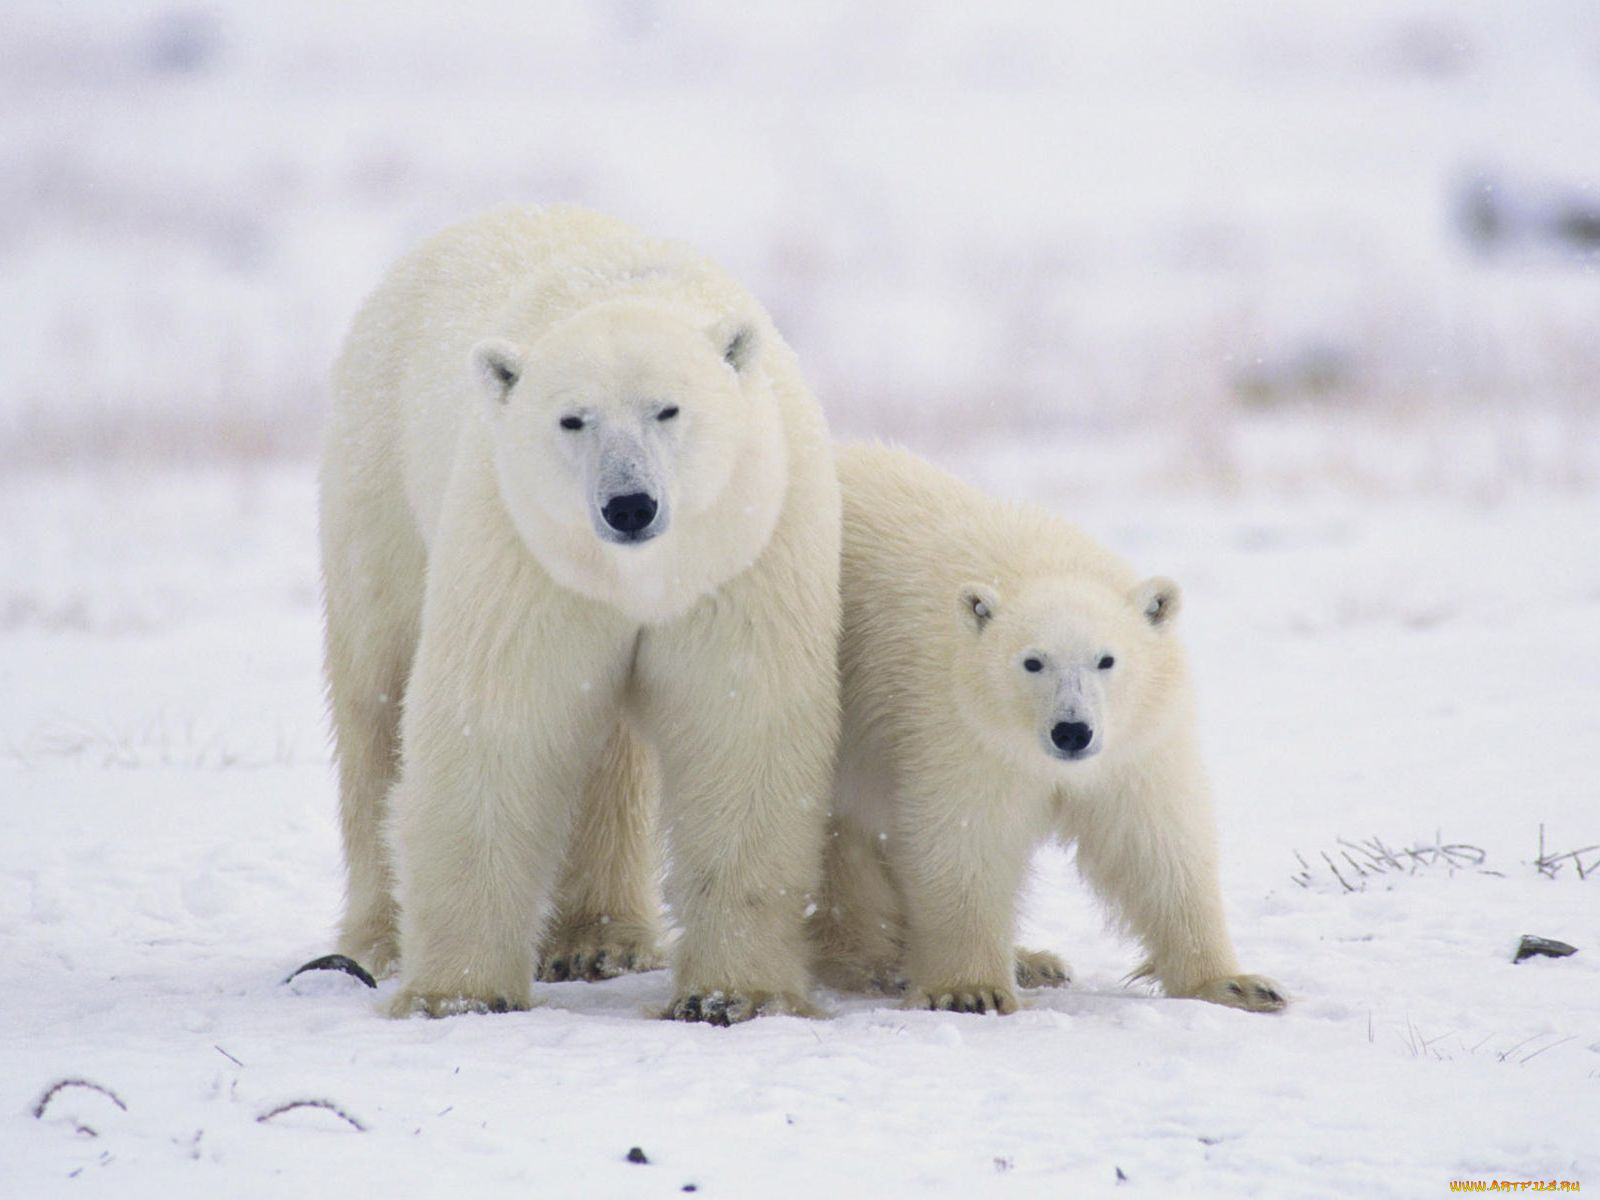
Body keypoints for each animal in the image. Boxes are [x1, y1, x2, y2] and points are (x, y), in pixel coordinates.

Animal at [320, 206, 844, 1024]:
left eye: (668, 408)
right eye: (573, 420)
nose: (629, 505)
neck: (637, 576)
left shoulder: (744, 549)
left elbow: (742, 726)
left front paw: (732, 993)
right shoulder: (525, 550)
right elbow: (497, 721)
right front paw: (459, 993)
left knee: (610, 755)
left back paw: (602, 941)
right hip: (378, 485)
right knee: (376, 698)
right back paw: (376, 940)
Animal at [812, 441, 1286, 1017]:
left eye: (1107, 659)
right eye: (1032, 662)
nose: (1072, 731)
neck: (1036, 565)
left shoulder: (1136, 741)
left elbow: (1154, 841)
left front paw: (1237, 984)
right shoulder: (958, 725)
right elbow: (966, 837)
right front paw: (970, 989)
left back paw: (1032, 961)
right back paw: (875, 961)